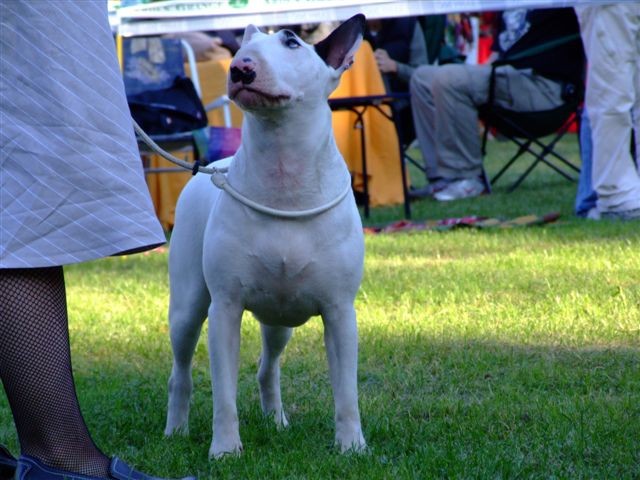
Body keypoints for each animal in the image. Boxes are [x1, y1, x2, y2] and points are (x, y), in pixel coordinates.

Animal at [162, 14, 368, 458]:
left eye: (292, 42)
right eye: (242, 50)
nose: (241, 68)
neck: (283, 174)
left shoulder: (340, 311)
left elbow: (346, 390)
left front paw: (352, 447)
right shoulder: (225, 307)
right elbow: (223, 393)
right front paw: (224, 450)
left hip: (280, 320)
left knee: (267, 367)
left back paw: (276, 421)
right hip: (187, 304)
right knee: (180, 369)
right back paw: (176, 430)